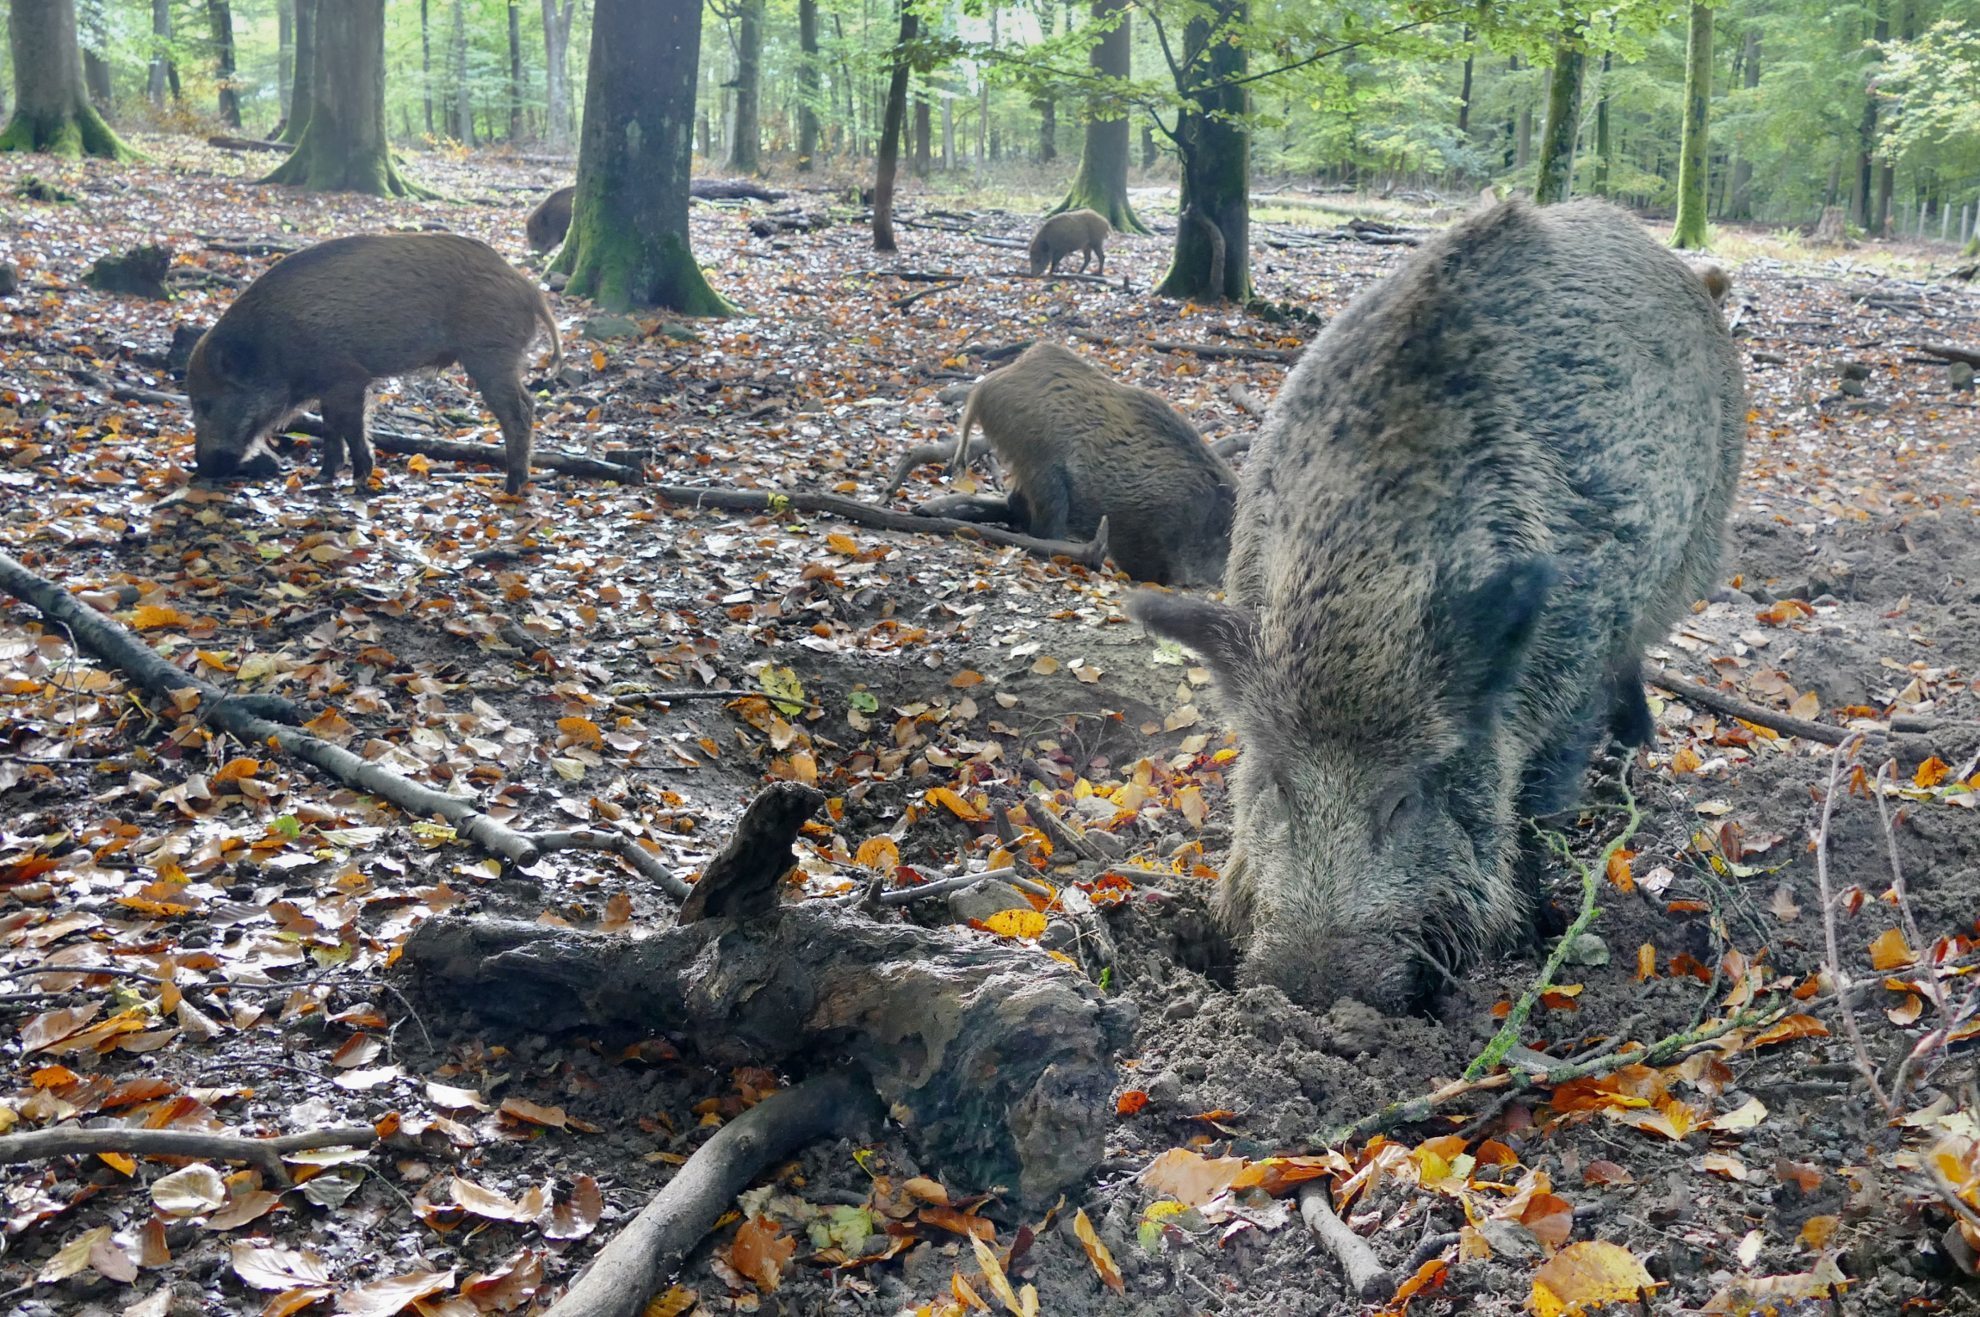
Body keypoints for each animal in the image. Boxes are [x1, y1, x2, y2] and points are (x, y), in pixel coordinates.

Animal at [188, 233, 562, 496]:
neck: (271, 347)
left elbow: (352, 426)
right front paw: (322, 477)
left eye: (207, 403)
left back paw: (511, 486)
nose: (202, 468)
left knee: (521, 410)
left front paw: (359, 479)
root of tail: (530, 289)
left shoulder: (348, 377)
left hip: (489, 355)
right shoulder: (328, 385)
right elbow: (330, 428)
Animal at [937, 342, 1236, 586]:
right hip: (1040, 465)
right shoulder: (1143, 531)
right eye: (1225, 537)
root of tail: (985, 385)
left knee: (1015, 505)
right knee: (1042, 527)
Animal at [1128, 199, 1746, 1012]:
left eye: (1404, 798)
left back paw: (1637, 743)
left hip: (1696, 544)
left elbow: (1537, 802)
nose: (1308, 995)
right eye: (1280, 786)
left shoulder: (1577, 654)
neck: (1364, 589)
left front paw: (1533, 931)